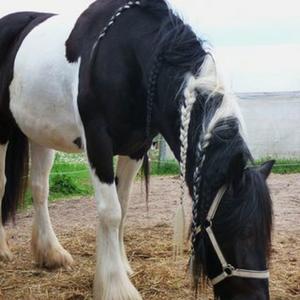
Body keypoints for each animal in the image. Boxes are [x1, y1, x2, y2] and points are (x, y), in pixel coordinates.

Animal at [0, 0, 274, 298]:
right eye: (244, 232)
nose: (258, 296)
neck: (129, 56)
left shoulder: (135, 149)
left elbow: (123, 207)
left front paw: (120, 268)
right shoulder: (97, 142)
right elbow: (110, 212)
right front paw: (116, 286)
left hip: (40, 133)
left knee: (39, 188)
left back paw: (50, 254)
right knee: (3, 182)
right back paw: (4, 250)